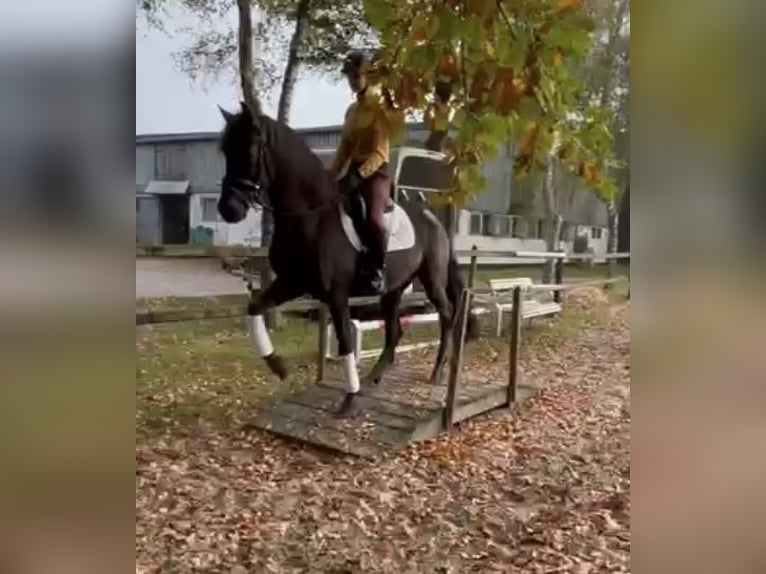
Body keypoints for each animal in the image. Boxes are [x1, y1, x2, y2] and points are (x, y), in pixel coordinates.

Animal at [217, 101, 478, 416]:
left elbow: (344, 340)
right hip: (393, 289)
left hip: (432, 279)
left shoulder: (336, 294)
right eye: (225, 150)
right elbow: (254, 308)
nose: (228, 209)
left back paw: (437, 371)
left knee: (447, 314)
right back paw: (375, 375)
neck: (310, 216)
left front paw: (349, 399)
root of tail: (433, 218)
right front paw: (277, 365)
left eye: (250, 150)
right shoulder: (292, 283)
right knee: (395, 330)